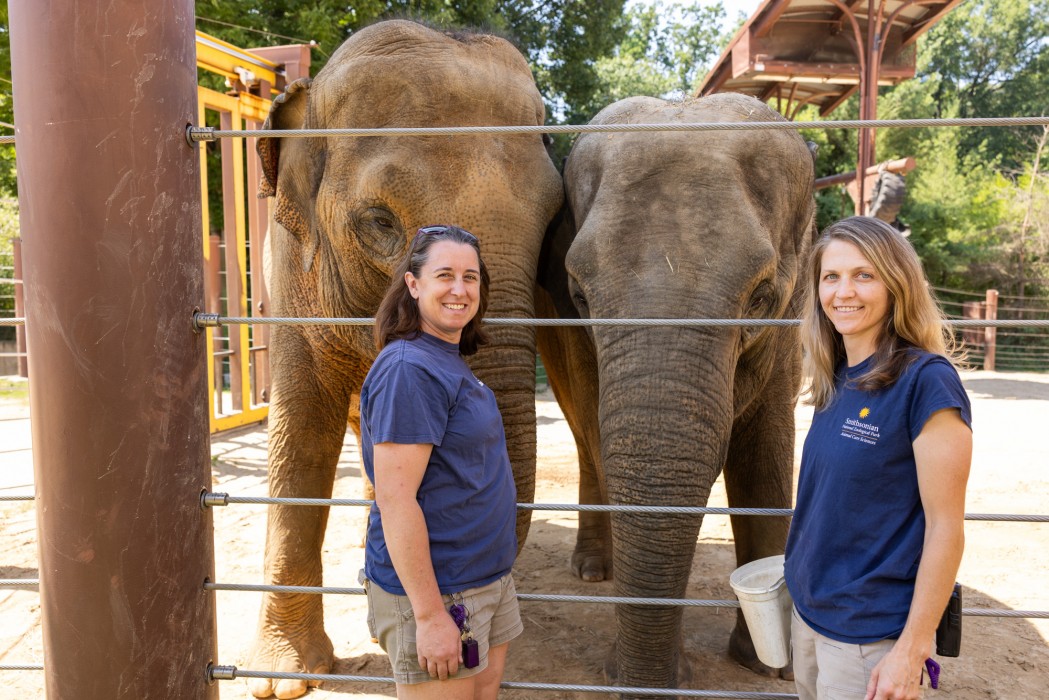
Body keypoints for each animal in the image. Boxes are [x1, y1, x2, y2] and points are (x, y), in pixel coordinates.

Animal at [537, 91, 814, 696]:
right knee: (583, 432)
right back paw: (595, 570)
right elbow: (605, 435)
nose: (638, 682)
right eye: (580, 295)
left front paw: (769, 666)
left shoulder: (790, 325)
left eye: (760, 297)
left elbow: (766, 450)